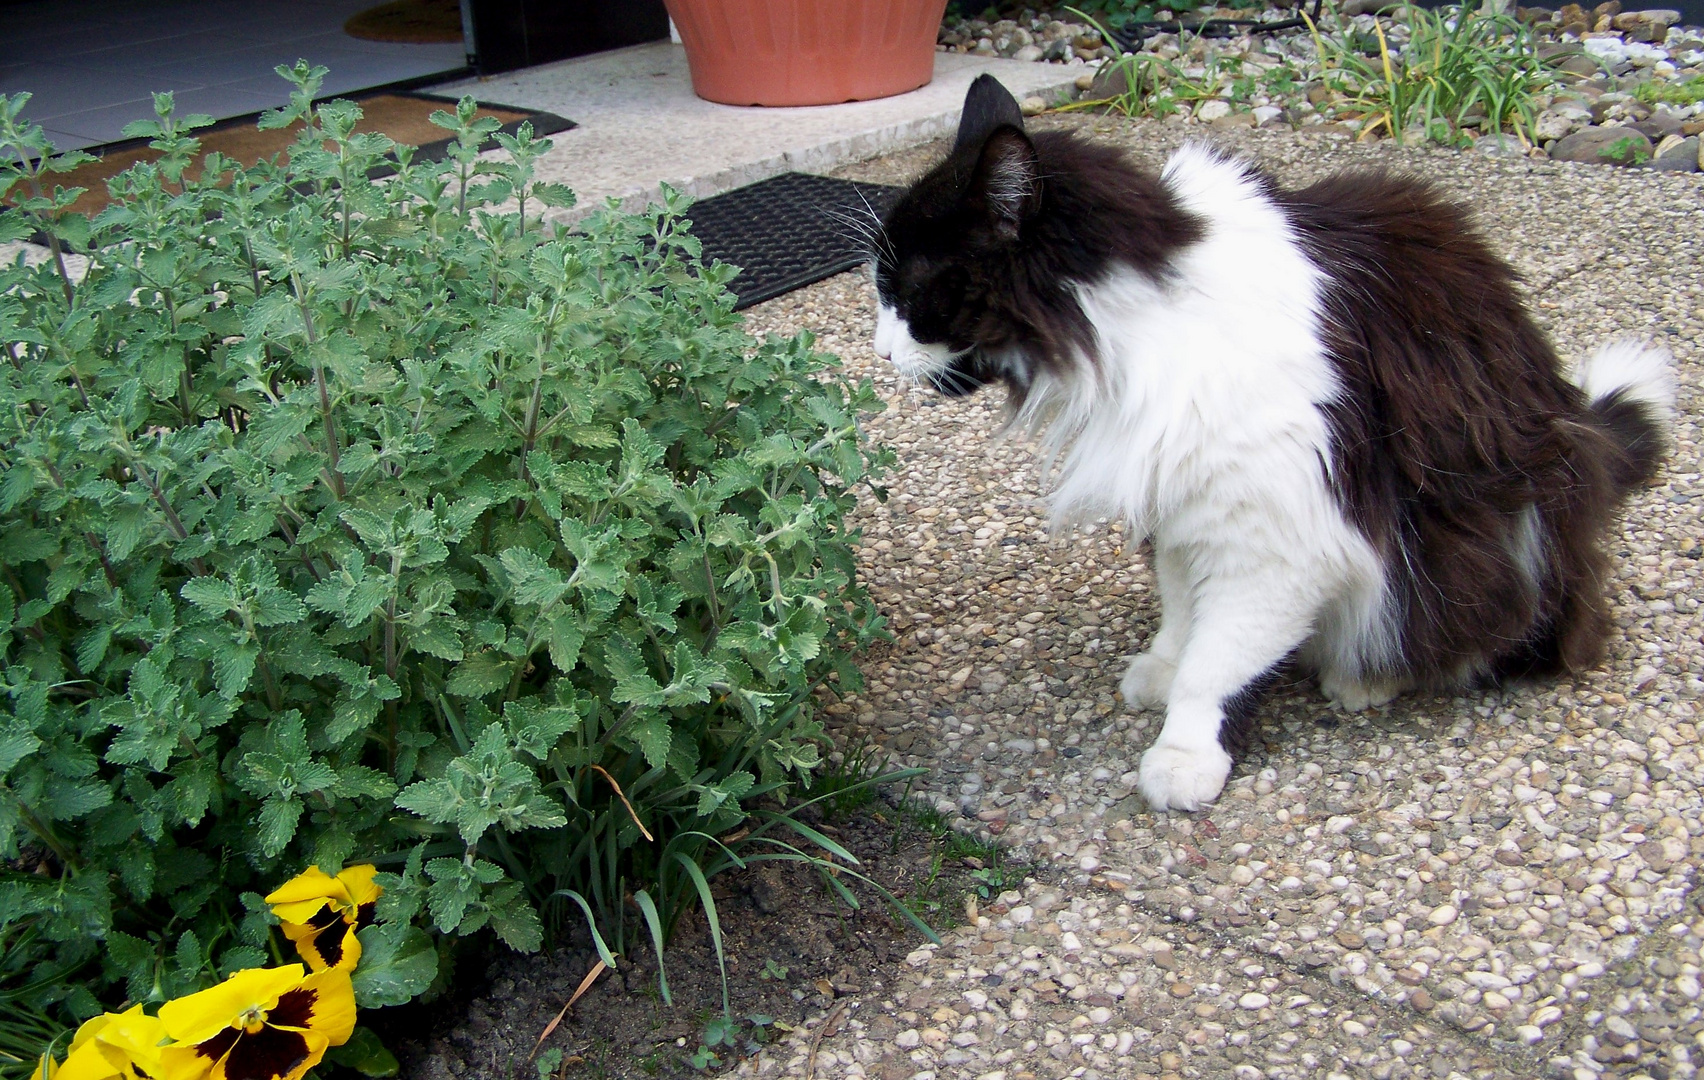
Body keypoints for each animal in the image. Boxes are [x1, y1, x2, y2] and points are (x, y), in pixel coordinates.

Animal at [872, 73, 1669, 807]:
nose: (877, 352)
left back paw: (1368, 676)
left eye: (903, 295)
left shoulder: (1277, 541)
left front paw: (1186, 753)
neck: (1137, 327)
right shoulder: (1181, 504)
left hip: (1488, 547)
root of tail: (1580, 434)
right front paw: (1164, 667)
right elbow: (1183, 614)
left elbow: (1216, 665)